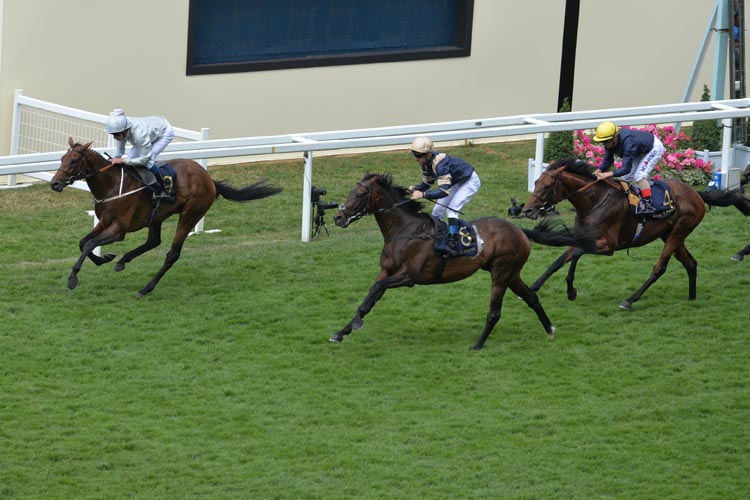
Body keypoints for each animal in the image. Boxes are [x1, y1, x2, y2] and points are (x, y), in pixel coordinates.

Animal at [50, 138, 284, 296]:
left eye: (73, 161)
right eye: (62, 158)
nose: (54, 183)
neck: (112, 185)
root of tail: (209, 179)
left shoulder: (119, 229)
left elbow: (90, 244)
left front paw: (73, 278)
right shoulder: (105, 222)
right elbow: (83, 242)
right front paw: (105, 258)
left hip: (190, 214)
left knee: (172, 254)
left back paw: (146, 288)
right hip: (157, 215)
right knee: (154, 241)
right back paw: (123, 261)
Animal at [332, 174, 596, 350]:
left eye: (359, 194)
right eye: (350, 192)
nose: (337, 217)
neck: (406, 231)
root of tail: (519, 230)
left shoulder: (408, 276)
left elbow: (375, 290)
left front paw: (354, 325)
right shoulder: (386, 271)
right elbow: (369, 298)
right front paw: (342, 331)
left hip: (501, 273)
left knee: (495, 311)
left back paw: (478, 345)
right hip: (511, 274)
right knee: (531, 297)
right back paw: (549, 330)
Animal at [524, 158, 708, 310]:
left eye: (547, 186)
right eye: (535, 182)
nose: (527, 210)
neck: (594, 202)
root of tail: (696, 193)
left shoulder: (608, 246)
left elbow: (577, 253)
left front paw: (571, 291)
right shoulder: (582, 237)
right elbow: (558, 261)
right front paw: (533, 287)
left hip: (678, 232)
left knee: (659, 268)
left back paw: (630, 300)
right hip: (670, 235)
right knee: (690, 263)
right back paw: (692, 298)